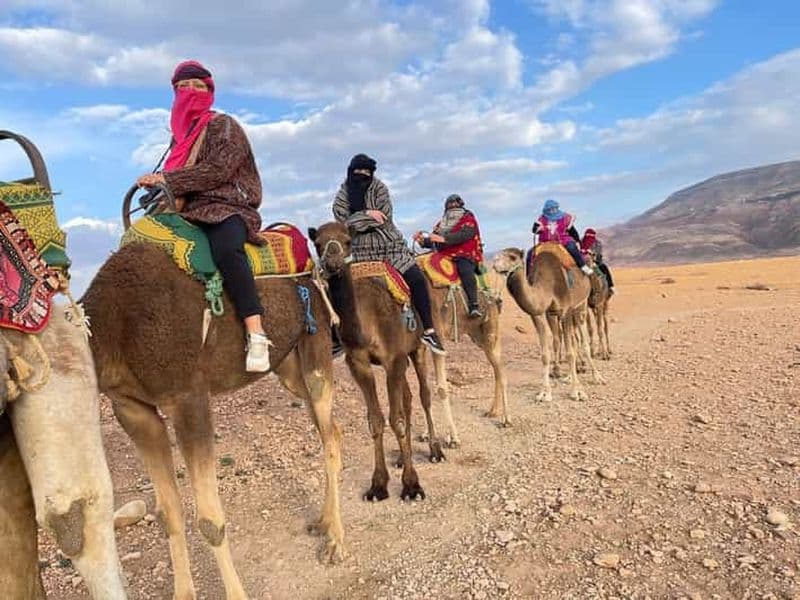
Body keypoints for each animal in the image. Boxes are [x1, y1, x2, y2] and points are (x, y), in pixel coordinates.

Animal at [81, 241, 344, 600]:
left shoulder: (189, 398)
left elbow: (209, 521)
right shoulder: (131, 408)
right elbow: (168, 513)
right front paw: (182, 593)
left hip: (315, 339)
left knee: (328, 434)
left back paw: (336, 543)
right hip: (288, 365)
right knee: (330, 428)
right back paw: (323, 522)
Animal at [310, 222, 452, 503]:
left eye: (347, 240)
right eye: (318, 244)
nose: (332, 262)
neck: (368, 322)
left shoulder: (393, 359)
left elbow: (395, 419)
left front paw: (412, 485)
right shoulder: (360, 365)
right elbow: (376, 421)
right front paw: (378, 485)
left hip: (417, 349)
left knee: (424, 395)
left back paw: (435, 450)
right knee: (407, 399)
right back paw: (403, 456)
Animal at [492, 247, 604, 402]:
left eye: (513, 257)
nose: (495, 263)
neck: (548, 284)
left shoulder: (566, 311)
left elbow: (569, 353)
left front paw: (577, 392)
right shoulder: (539, 314)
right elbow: (545, 355)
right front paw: (544, 393)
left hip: (581, 305)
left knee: (583, 342)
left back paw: (597, 377)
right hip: (556, 315)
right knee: (570, 339)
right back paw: (569, 376)